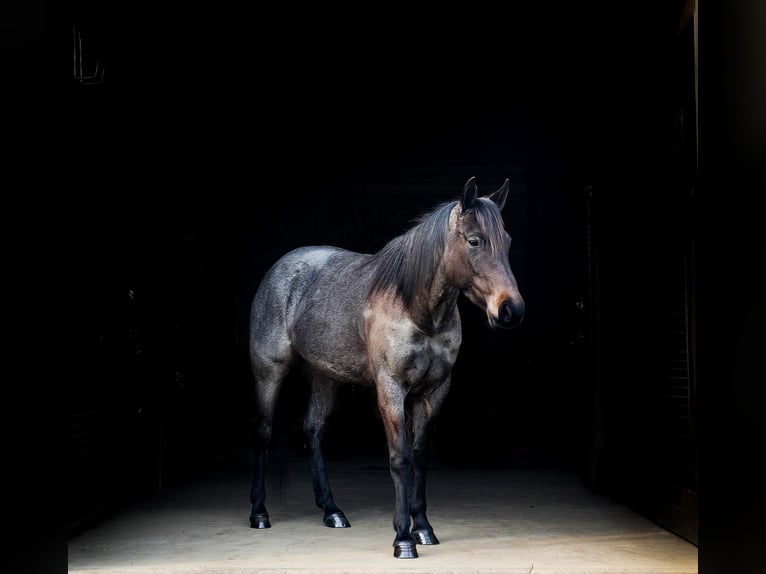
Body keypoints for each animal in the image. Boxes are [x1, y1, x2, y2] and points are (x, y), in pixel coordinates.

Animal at [248, 176, 525, 558]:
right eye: (474, 241)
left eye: (508, 241)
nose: (511, 309)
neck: (416, 310)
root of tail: (280, 269)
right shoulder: (391, 389)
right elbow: (400, 459)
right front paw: (403, 539)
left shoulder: (433, 391)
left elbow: (420, 458)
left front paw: (424, 529)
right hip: (269, 372)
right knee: (263, 432)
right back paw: (259, 513)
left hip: (325, 376)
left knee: (313, 430)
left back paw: (332, 511)